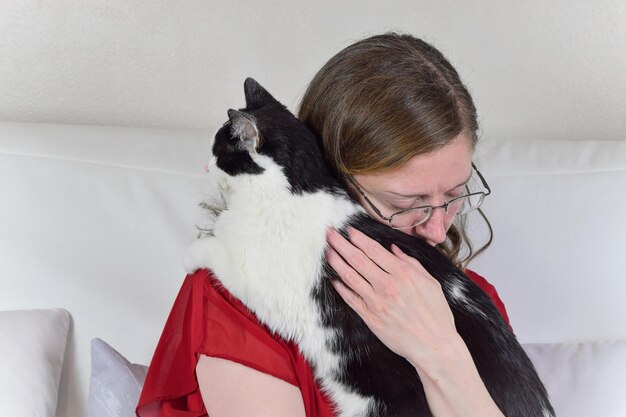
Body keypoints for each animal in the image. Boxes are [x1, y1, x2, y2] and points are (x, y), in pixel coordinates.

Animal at [184, 78, 552, 416]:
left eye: (218, 152)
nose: (204, 166)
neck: (296, 191)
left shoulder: (256, 277)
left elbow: (214, 248)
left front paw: (191, 256)